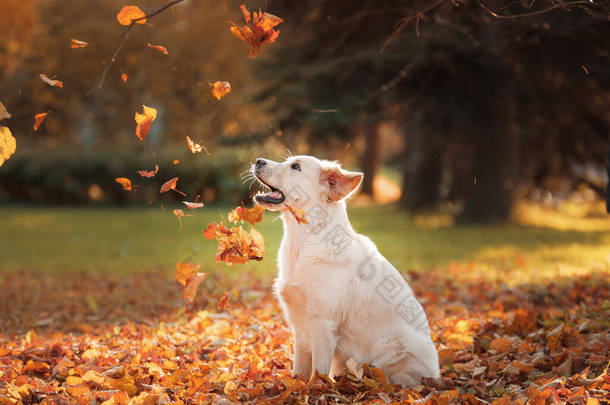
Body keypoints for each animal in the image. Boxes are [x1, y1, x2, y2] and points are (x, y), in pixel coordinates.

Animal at [251, 155, 436, 386]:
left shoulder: (321, 325)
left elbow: (318, 372)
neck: (306, 238)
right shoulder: (299, 324)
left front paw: (315, 389)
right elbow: (299, 370)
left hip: (394, 347)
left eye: (296, 166)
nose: (258, 160)